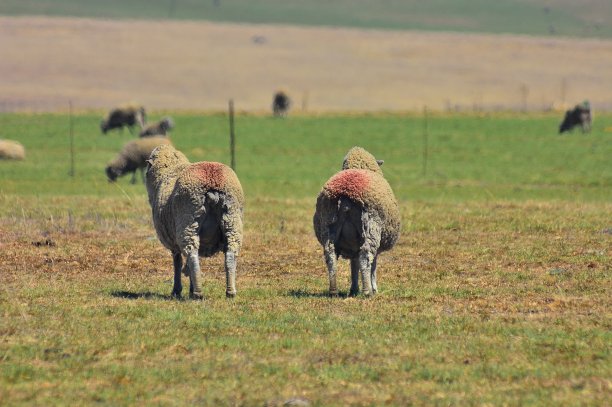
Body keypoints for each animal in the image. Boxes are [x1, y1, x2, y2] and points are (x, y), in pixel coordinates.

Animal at [145, 144, 244, 300]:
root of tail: (212, 185)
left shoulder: (173, 242)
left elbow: (178, 262)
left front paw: (177, 290)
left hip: (187, 223)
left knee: (191, 255)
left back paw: (197, 293)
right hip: (232, 220)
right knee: (230, 255)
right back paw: (230, 291)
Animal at [314, 147, 400, 296]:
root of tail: (345, 194)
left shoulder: (352, 243)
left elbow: (354, 264)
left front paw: (354, 288)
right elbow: (372, 265)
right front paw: (374, 288)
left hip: (327, 224)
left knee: (330, 255)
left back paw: (333, 290)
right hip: (371, 226)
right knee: (366, 256)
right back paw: (367, 292)